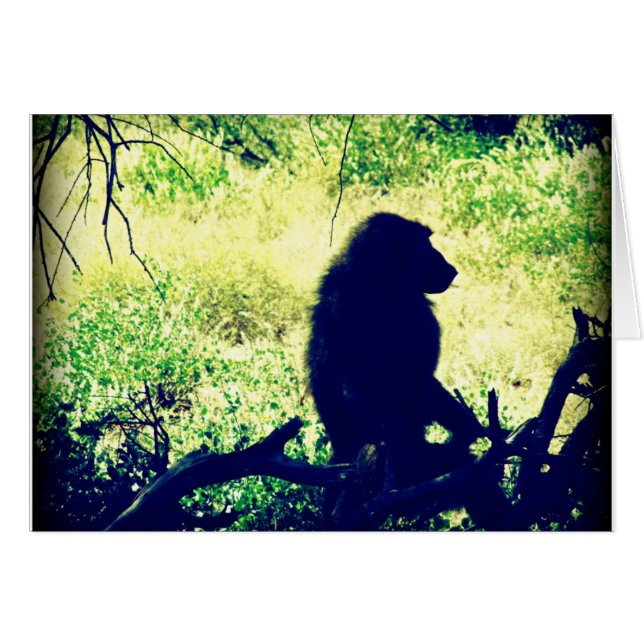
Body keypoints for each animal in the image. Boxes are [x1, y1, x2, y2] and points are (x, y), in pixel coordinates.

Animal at [307, 213, 485, 518]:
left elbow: (424, 382)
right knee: (374, 452)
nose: (451, 269)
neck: (380, 286)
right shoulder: (344, 311)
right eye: (424, 248)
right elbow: (359, 386)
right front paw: (406, 450)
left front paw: (469, 428)